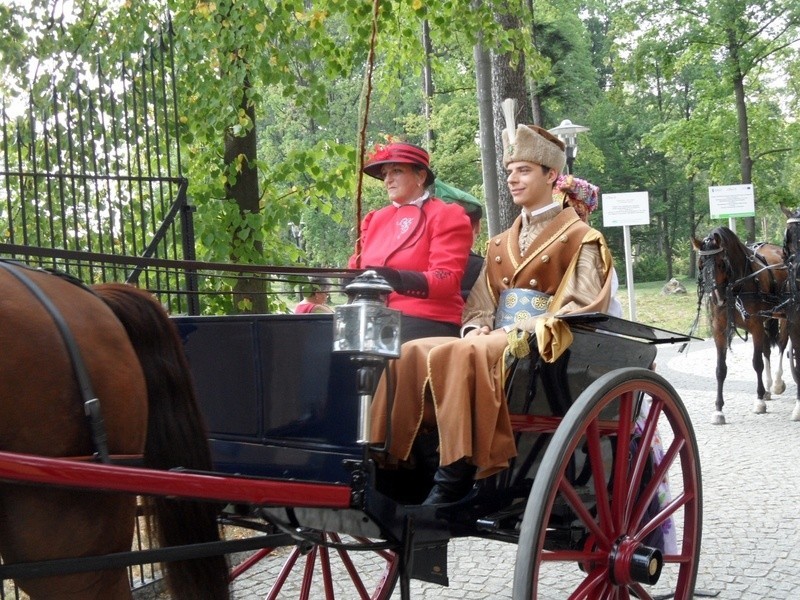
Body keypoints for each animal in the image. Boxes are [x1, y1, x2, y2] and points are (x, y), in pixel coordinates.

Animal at [692, 227, 788, 424]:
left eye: (721, 263)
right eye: (701, 264)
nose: (716, 299)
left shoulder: (756, 326)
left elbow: (757, 363)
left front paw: (759, 401)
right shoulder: (719, 330)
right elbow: (720, 369)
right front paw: (719, 410)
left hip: (783, 315)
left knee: (782, 345)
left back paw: (776, 383)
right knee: (767, 350)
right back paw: (767, 388)